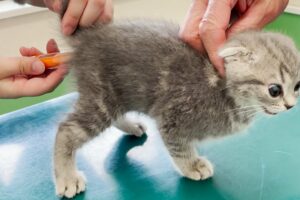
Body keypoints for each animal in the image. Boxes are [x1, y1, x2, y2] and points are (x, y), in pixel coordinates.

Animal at [53, 19, 300, 198]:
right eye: (275, 90)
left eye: (297, 86)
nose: (290, 106)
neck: (224, 91)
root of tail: (88, 38)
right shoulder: (173, 116)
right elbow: (179, 147)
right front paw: (192, 166)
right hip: (102, 97)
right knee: (67, 129)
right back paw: (67, 178)